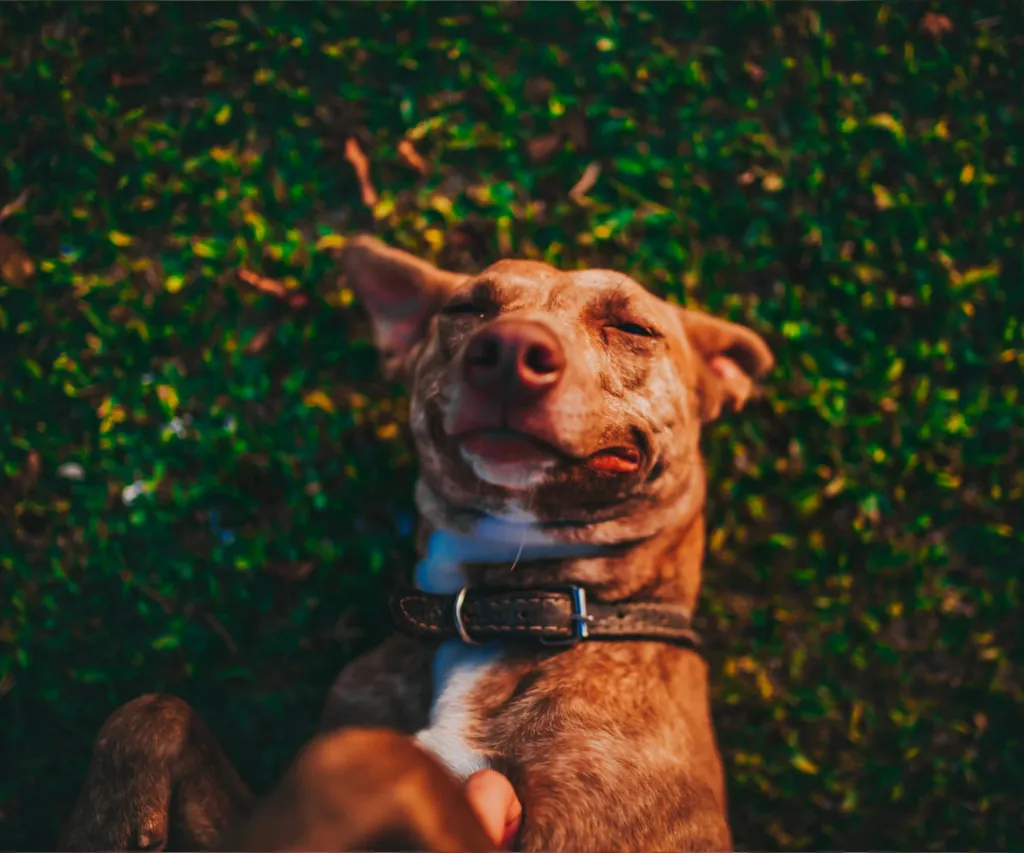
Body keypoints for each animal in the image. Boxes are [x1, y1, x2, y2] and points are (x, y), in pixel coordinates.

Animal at [59, 234, 770, 851]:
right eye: (467, 309)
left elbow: (374, 760)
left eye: (633, 328)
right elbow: (153, 708)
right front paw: (102, 824)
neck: (495, 612)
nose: (508, 348)